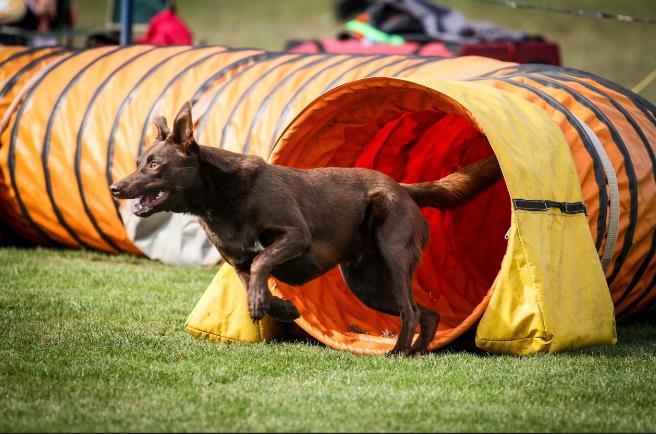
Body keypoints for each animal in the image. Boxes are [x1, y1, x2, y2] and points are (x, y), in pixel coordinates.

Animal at [113, 103, 502, 354]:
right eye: (139, 162)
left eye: (154, 165)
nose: (116, 188)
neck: (221, 199)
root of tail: (403, 188)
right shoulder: (238, 264)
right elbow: (257, 284)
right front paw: (282, 309)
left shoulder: (295, 235)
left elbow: (262, 263)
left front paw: (264, 304)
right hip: (367, 285)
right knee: (427, 312)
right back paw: (419, 351)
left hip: (393, 258)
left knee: (410, 310)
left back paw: (398, 353)